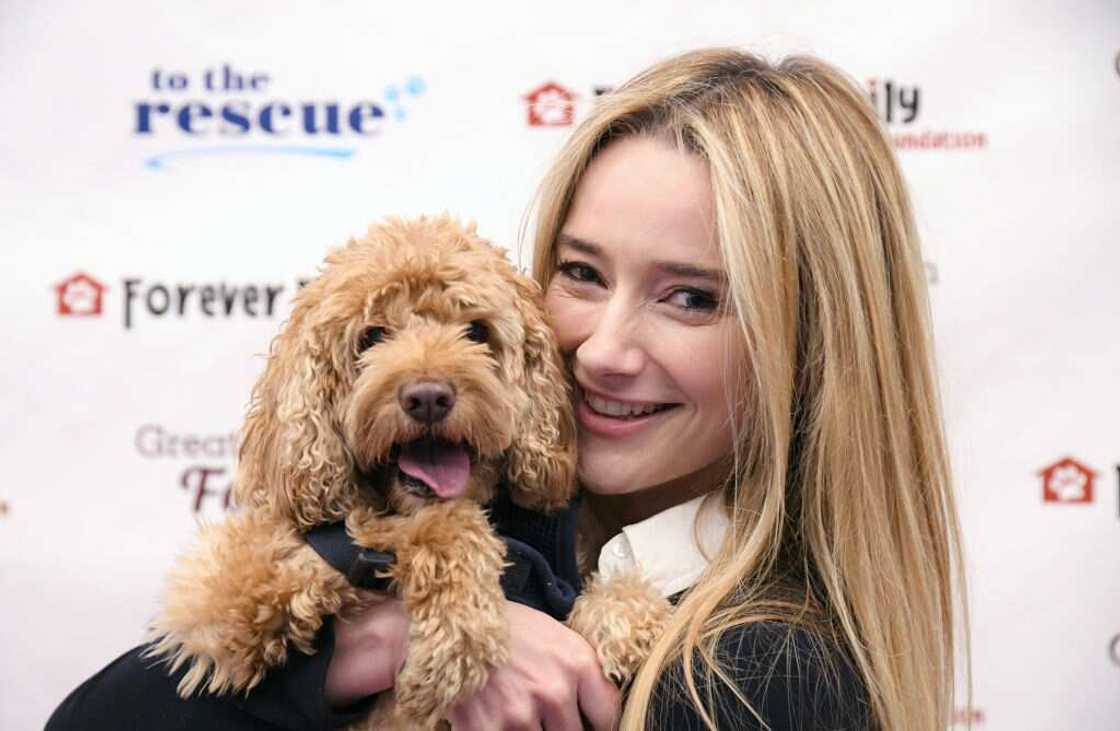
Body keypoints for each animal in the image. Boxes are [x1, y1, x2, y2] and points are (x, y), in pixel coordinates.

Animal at [145, 213, 667, 725]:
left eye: (477, 331)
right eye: (372, 336)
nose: (429, 396)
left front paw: (629, 618)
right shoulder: (227, 592)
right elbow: (429, 524)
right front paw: (456, 641)